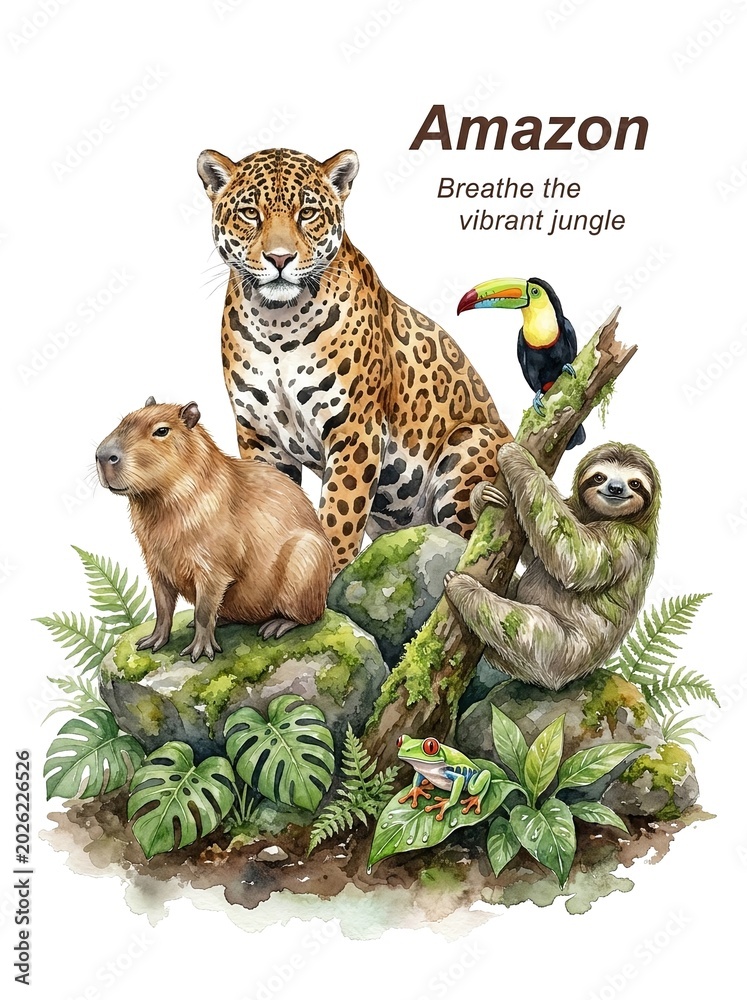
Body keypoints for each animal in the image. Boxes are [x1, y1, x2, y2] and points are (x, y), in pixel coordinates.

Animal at [197, 145, 512, 572]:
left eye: (307, 213)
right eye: (250, 212)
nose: (279, 258)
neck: (277, 323)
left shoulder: (355, 427)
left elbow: (339, 514)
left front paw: (325, 574)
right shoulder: (260, 436)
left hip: (470, 446)